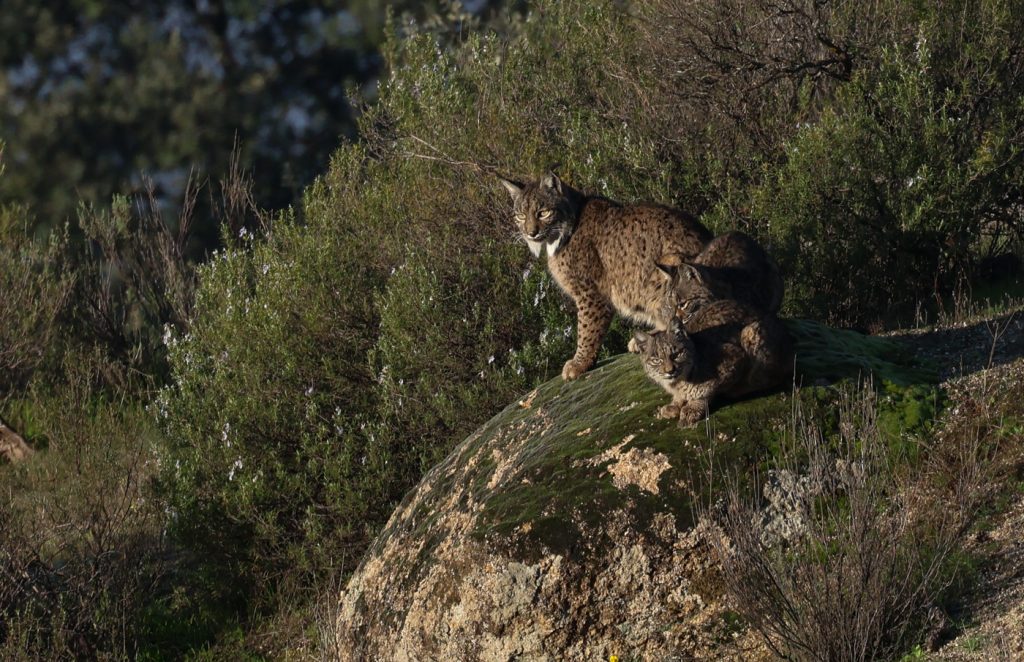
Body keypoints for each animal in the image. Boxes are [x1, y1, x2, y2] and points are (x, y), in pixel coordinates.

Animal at [500, 171, 712, 380]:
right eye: (521, 216)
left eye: (543, 213)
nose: (530, 233)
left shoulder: (590, 293)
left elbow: (586, 328)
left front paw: (579, 363)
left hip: (669, 262)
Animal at [633, 301, 793, 427]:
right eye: (657, 360)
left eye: (676, 354)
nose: (670, 371)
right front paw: (676, 403)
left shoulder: (735, 357)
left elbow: (706, 389)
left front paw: (692, 406)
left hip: (749, 331)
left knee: (772, 378)